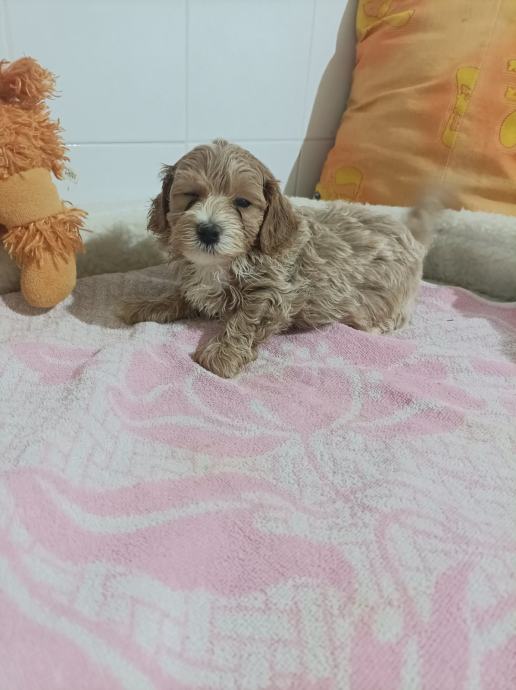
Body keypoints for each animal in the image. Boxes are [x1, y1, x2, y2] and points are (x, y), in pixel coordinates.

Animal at [123, 140, 438, 378]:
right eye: (190, 195)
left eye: (242, 202)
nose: (209, 230)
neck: (222, 263)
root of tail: (412, 237)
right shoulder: (197, 284)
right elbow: (181, 295)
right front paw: (147, 305)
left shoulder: (275, 292)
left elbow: (245, 321)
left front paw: (223, 354)